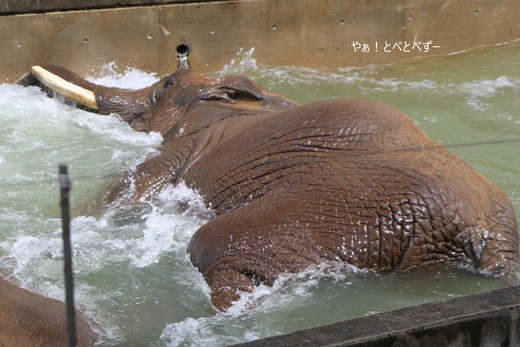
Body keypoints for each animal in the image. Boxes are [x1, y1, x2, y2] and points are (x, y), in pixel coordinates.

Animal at [18, 66, 516, 312]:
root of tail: (480, 232)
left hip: (330, 206)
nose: (24, 78)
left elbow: (127, 190)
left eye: (166, 84)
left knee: (212, 245)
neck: (231, 102)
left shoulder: (188, 146)